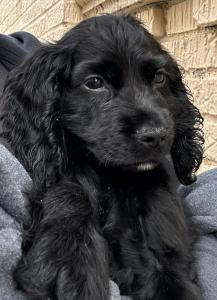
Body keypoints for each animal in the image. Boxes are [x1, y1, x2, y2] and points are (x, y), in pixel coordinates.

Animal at [0, 13, 203, 298]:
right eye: (94, 83)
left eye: (159, 78)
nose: (155, 135)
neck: (109, 175)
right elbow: (68, 191)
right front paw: (69, 259)